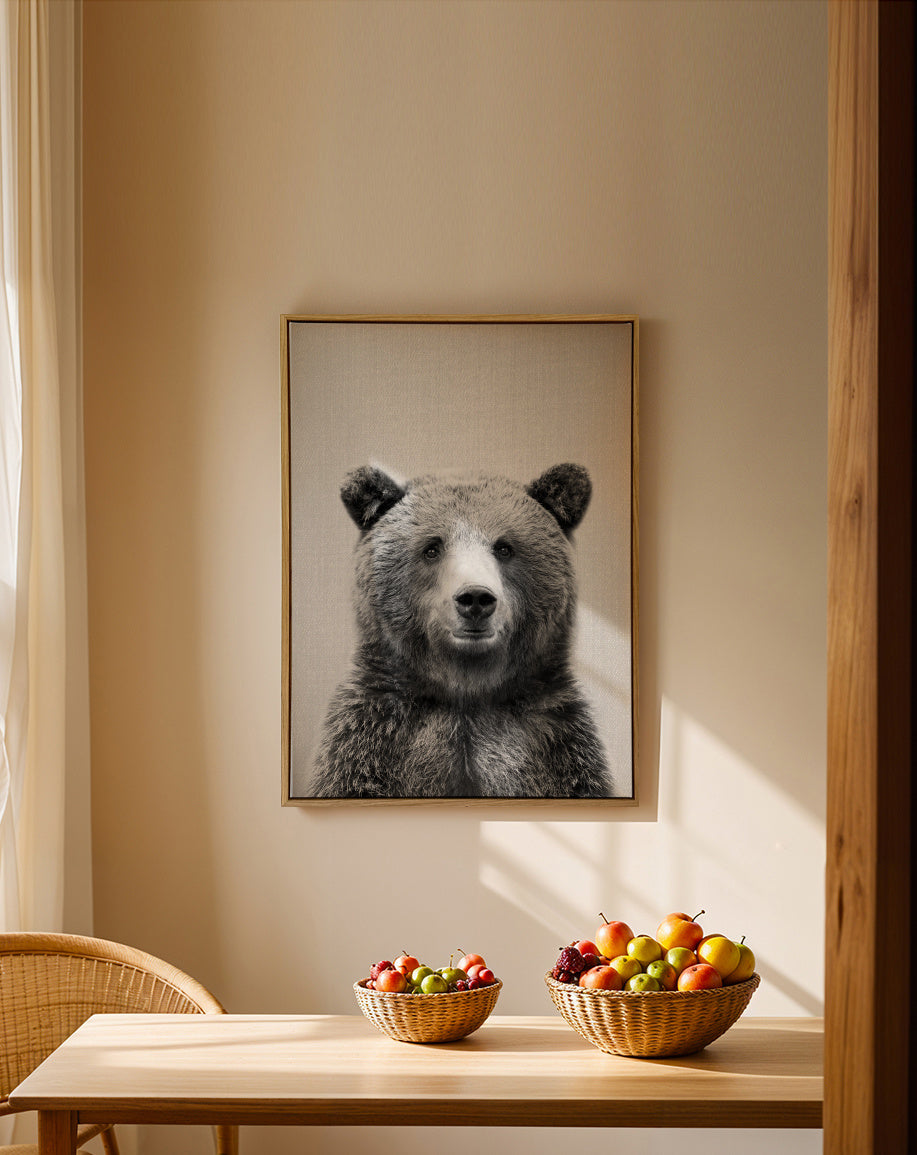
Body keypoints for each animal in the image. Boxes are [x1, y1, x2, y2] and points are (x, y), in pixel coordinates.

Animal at [309, 462, 613, 798]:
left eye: (504, 548)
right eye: (432, 548)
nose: (476, 598)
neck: (467, 692)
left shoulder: (554, 745)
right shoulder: (372, 741)